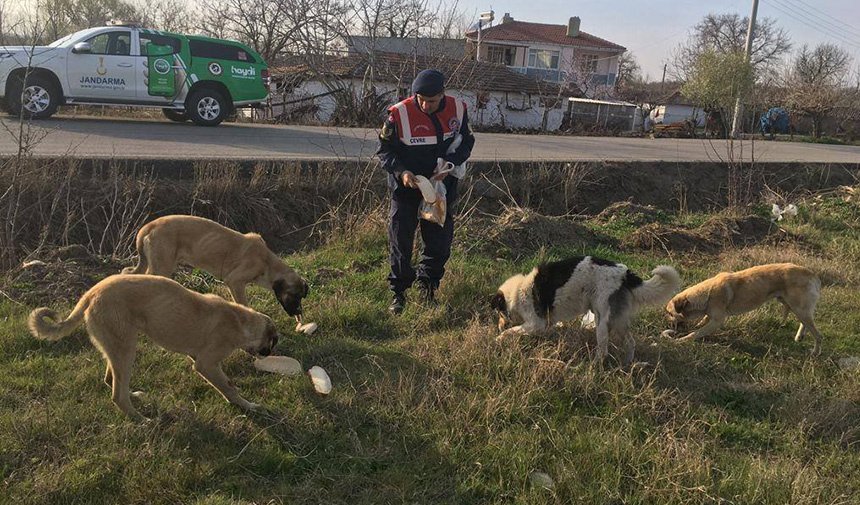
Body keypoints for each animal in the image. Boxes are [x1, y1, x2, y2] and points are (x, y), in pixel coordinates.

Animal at [27, 274, 278, 420]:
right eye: (272, 342)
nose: (269, 354)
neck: (239, 319)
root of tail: (91, 294)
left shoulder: (196, 357)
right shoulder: (206, 364)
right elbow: (228, 387)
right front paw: (246, 406)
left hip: (117, 348)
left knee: (112, 381)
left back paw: (134, 396)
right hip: (126, 348)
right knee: (117, 395)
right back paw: (141, 420)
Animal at [122, 215, 308, 316]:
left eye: (301, 296)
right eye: (294, 295)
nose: (299, 313)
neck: (267, 262)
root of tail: (148, 226)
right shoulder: (235, 282)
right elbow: (243, 304)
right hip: (162, 267)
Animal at [494, 256, 680, 362]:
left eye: (499, 313)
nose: (498, 326)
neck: (517, 292)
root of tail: (625, 274)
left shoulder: (536, 323)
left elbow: (512, 331)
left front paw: (499, 338)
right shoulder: (544, 325)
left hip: (602, 320)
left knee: (603, 350)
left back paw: (594, 366)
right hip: (616, 321)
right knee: (630, 343)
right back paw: (627, 366)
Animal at [660, 264, 824, 354]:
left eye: (669, 313)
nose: (663, 320)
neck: (708, 293)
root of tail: (814, 275)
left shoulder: (717, 321)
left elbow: (696, 333)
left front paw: (681, 340)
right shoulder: (711, 316)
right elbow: (703, 321)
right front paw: (697, 324)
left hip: (799, 308)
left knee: (818, 335)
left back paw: (815, 352)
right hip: (794, 306)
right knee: (804, 322)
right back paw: (799, 336)